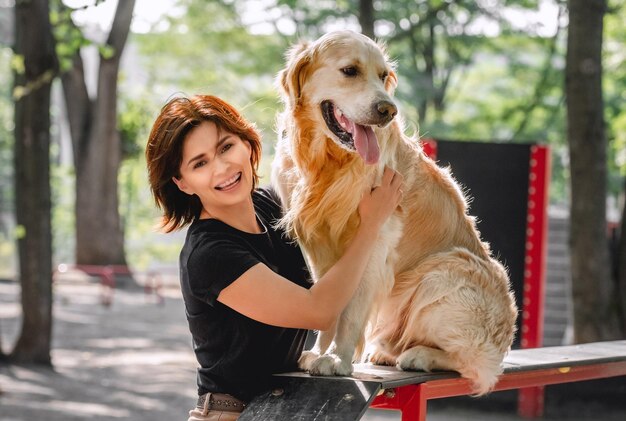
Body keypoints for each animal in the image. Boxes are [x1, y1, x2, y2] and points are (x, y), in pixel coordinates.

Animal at [272, 30, 516, 394]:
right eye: (350, 71)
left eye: (383, 75)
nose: (387, 109)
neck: (329, 163)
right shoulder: (314, 239)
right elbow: (328, 299)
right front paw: (320, 351)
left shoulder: (376, 238)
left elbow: (351, 308)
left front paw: (337, 358)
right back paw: (385, 352)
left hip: (445, 269)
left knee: (477, 366)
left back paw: (420, 355)